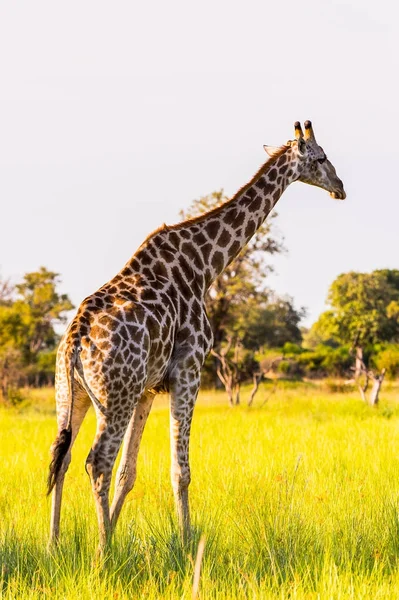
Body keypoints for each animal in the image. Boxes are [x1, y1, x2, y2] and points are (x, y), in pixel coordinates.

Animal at [47, 118, 346, 552]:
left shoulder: (149, 387)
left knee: (63, 457)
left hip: (73, 394)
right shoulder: (189, 370)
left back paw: (54, 547)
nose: (340, 186)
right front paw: (187, 543)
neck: (204, 265)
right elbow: (180, 470)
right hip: (114, 395)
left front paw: (120, 531)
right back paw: (102, 555)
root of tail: (73, 341)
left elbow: (129, 472)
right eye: (322, 157)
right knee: (96, 461)